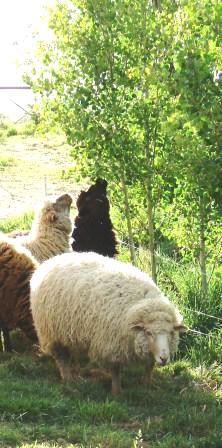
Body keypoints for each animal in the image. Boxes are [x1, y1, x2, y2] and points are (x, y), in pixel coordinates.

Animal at [30, 252, 186, 396]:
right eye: (148, 332)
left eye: (171, 332)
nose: (164, 358)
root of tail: (52, 260)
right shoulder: (111, 346)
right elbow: (115, 371)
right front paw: (116, 392)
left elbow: (149, 366)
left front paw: (146, 384)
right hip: (51, 332)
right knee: (61, 358)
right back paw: (68, 379)